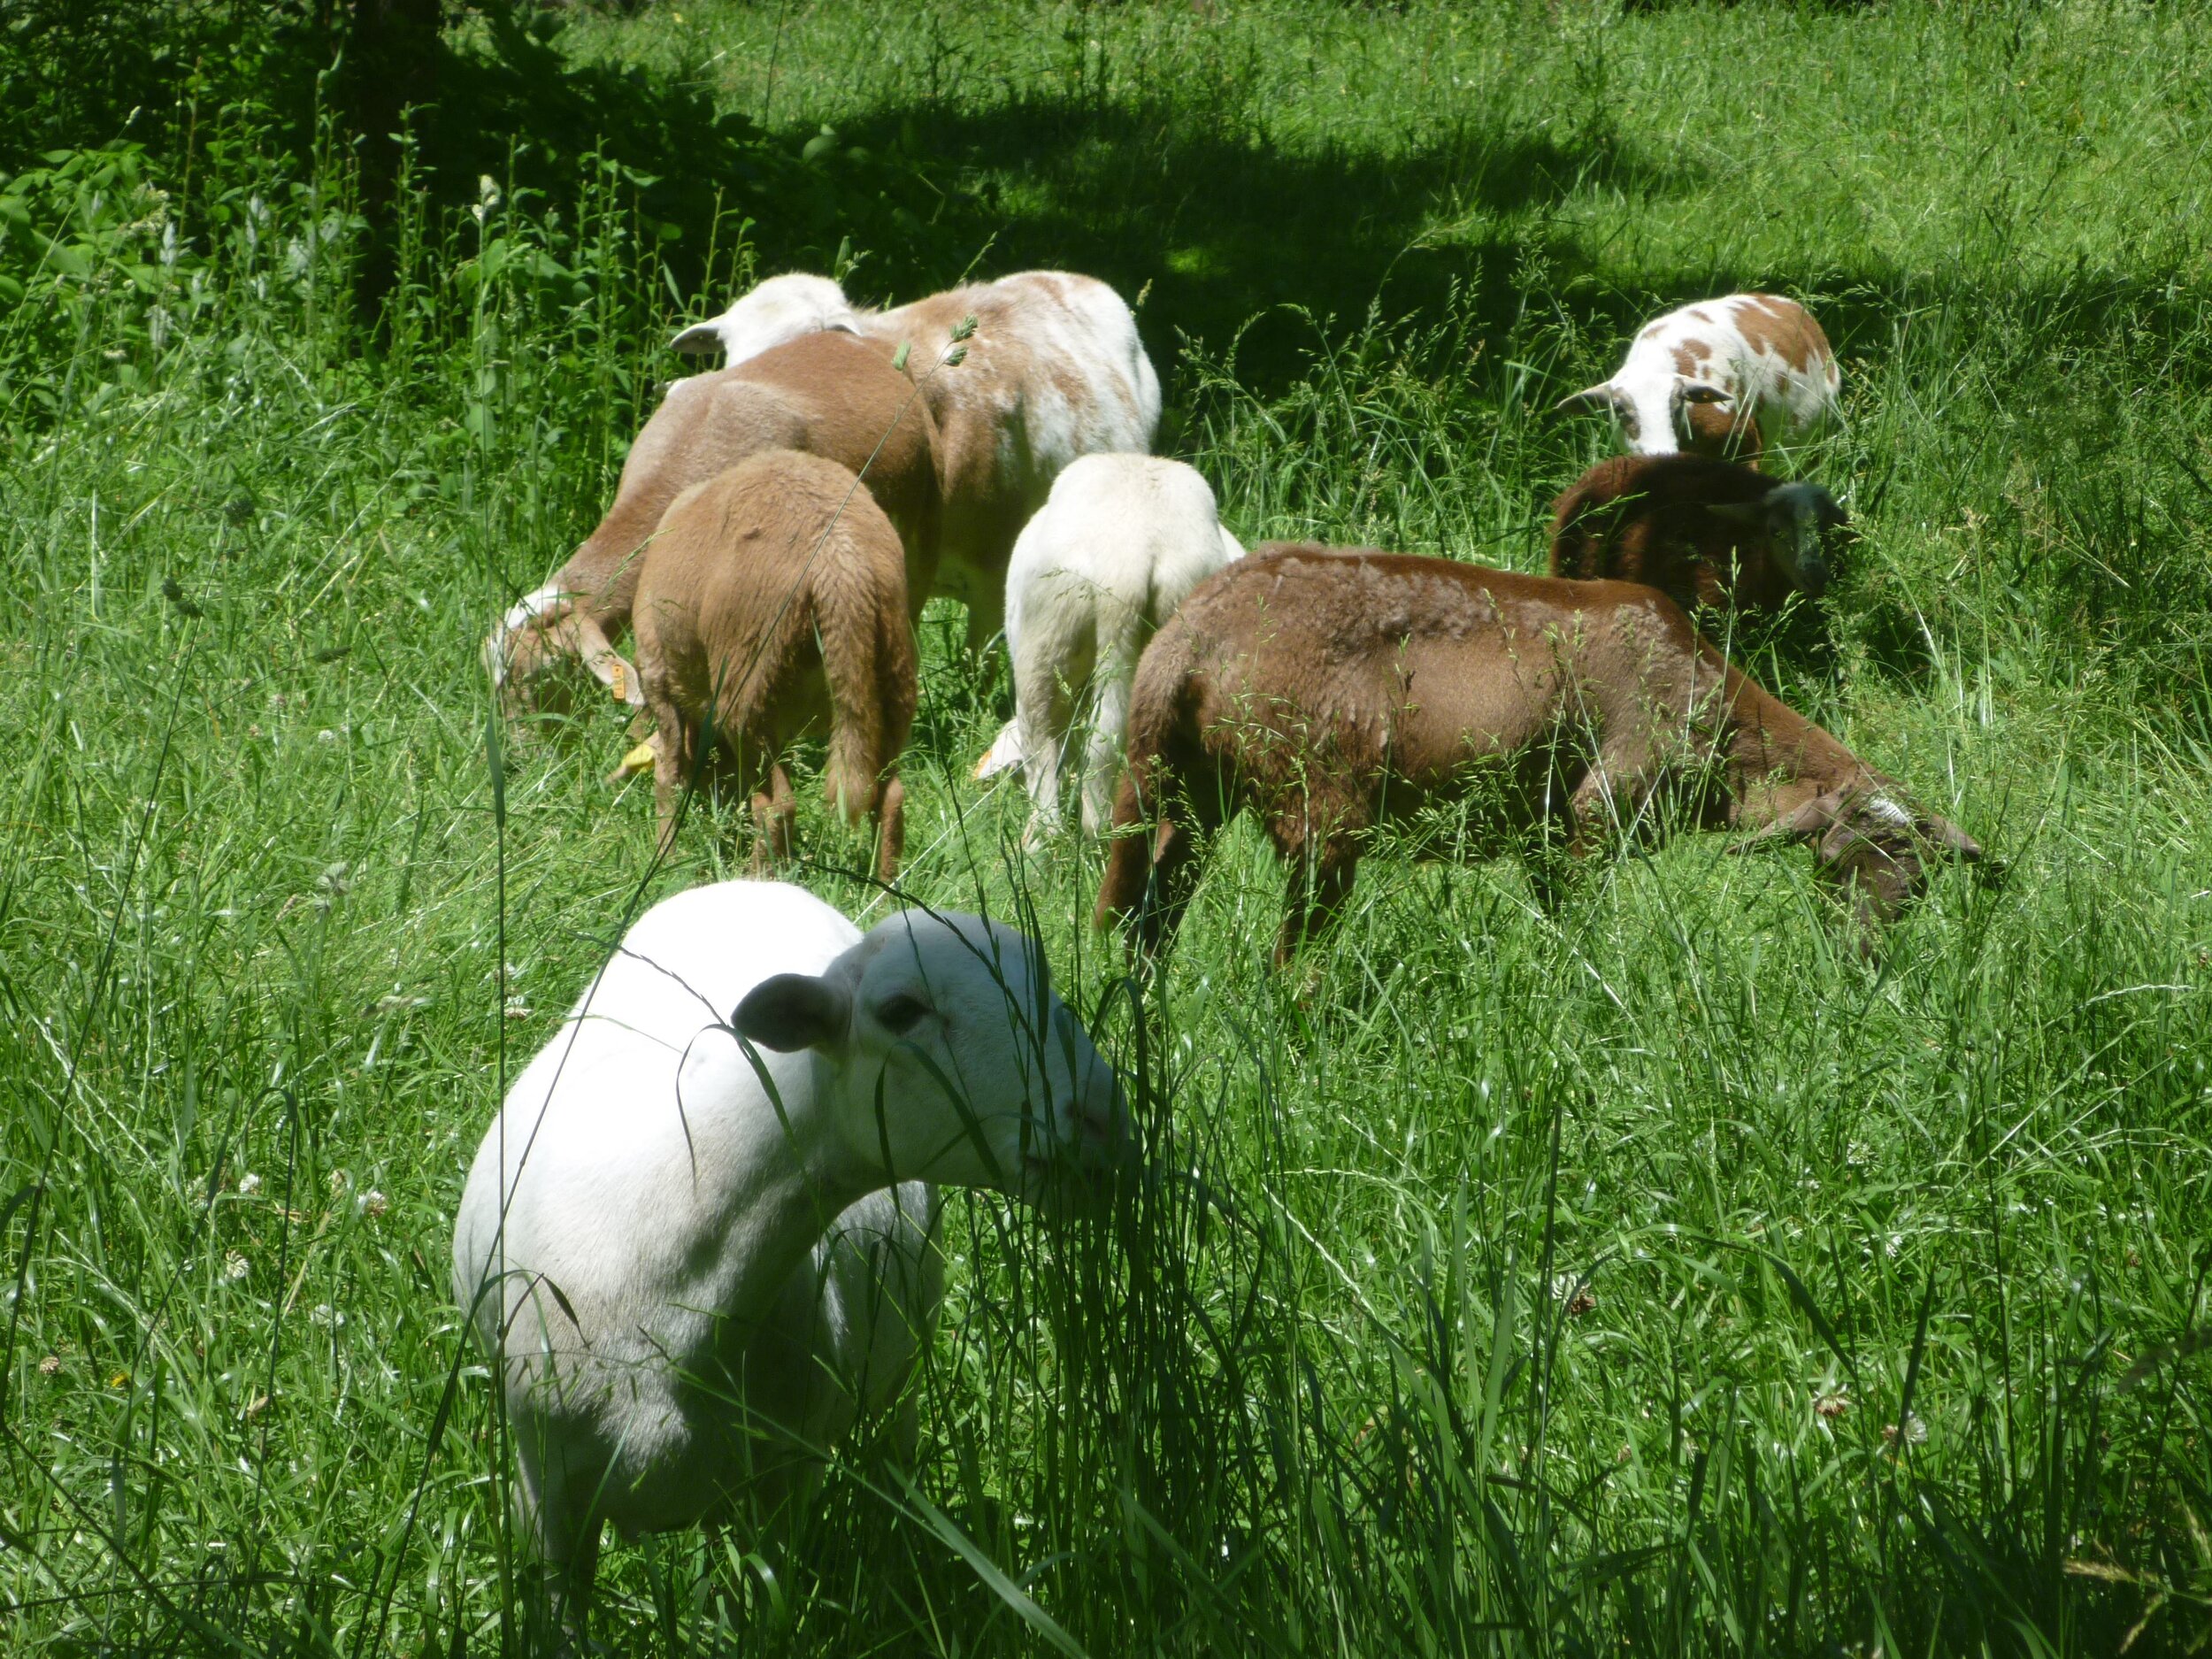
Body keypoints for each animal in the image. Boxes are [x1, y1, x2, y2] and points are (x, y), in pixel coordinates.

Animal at [453, 879, 1125, 1638]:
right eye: (902, 1011)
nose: (1105, 1120)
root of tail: (748, 881)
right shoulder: (546, 1495)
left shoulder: (784, 1480)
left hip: (900, 1357)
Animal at [631, 449, 917, 878]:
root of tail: (840, 561)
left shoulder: (658, 677)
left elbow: (669, 774)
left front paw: (667, 859)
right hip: (891, 680)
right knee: (889, 797)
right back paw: (882, 888)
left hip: (747, 693)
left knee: (775, 806)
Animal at [1095, 543, 1982, 963]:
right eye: (1834, 867)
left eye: (1917, 888)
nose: (1862, 963)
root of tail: (1188, 634)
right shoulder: (1604, 803)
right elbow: (1585, 926)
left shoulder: (1545, 834)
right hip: (1317, 798)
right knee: (1290, 958)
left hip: (1181, 788)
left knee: (1145, 915)